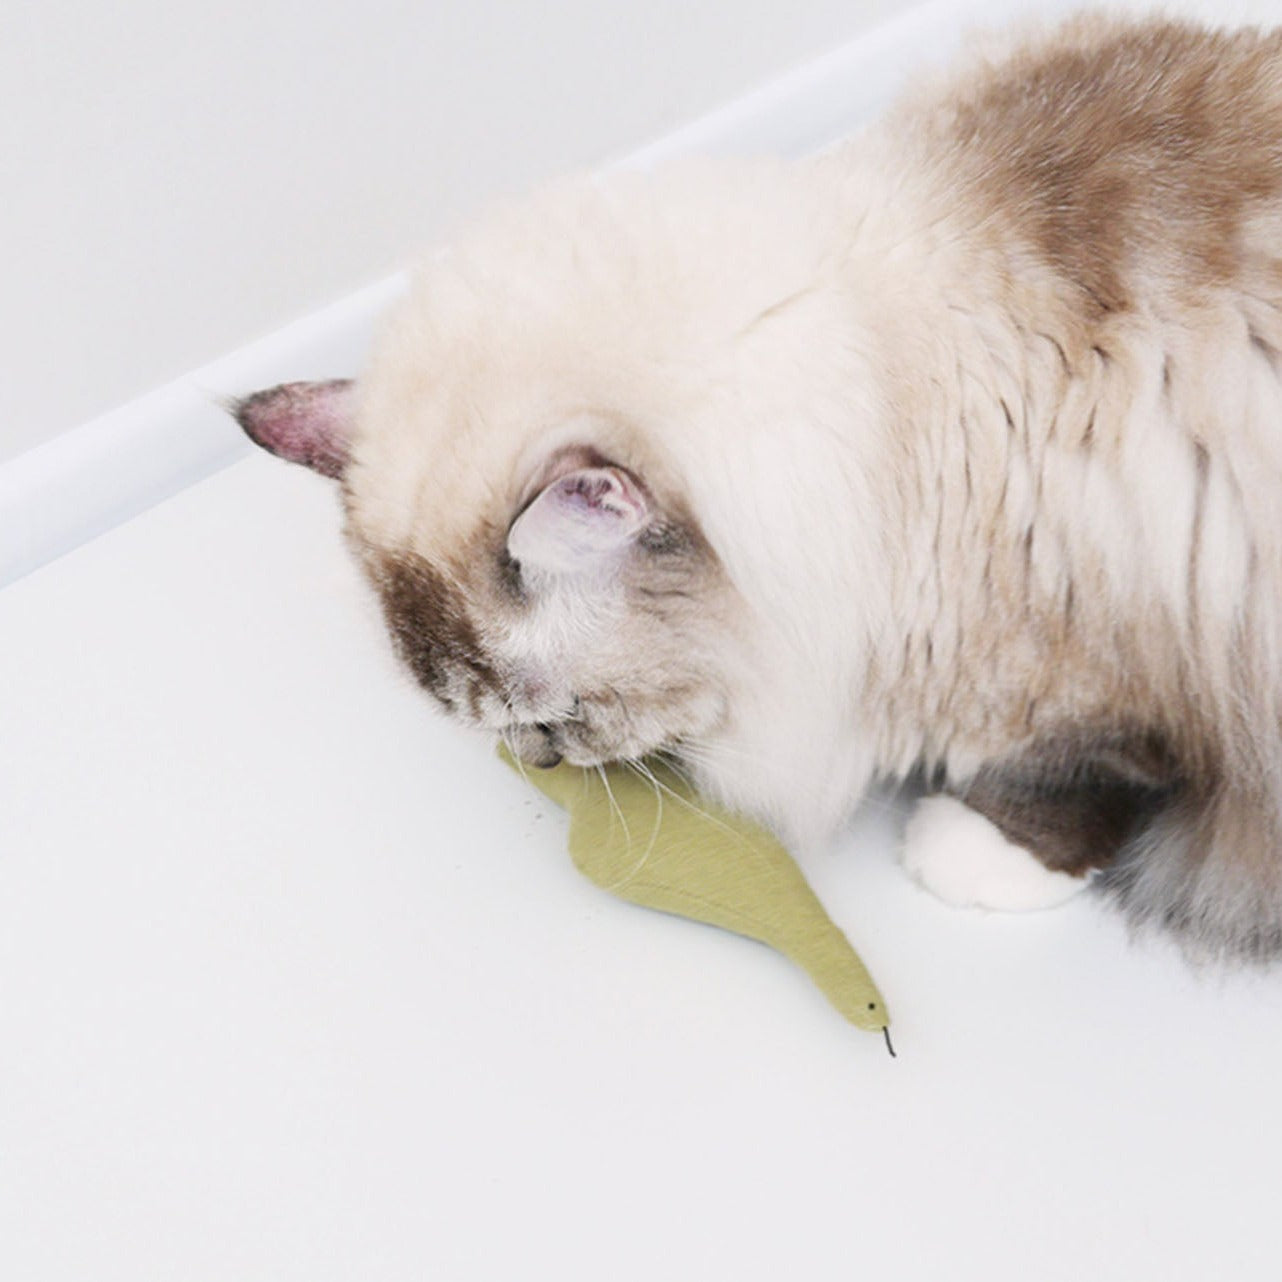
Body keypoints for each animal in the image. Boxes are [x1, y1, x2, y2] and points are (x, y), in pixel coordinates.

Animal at [235, 12, 1282, 964]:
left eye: (552, 718)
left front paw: (971, 859)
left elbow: (1076, 774)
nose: (537, 759)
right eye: (517, 729)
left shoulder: (1109, 637)